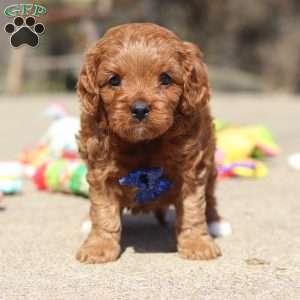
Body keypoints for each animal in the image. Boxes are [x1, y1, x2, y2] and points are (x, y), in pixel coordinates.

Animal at [75, 23, 230, 264]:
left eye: (166, 79)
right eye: (114, 80)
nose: (139, 109)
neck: (144, 142)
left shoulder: (192, 168)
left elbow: (193, 209)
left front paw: (197, 244)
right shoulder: (101, 169)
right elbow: (103, 211)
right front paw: (98, 247)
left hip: (211, 163)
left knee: (210, 196)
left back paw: (216, 222)